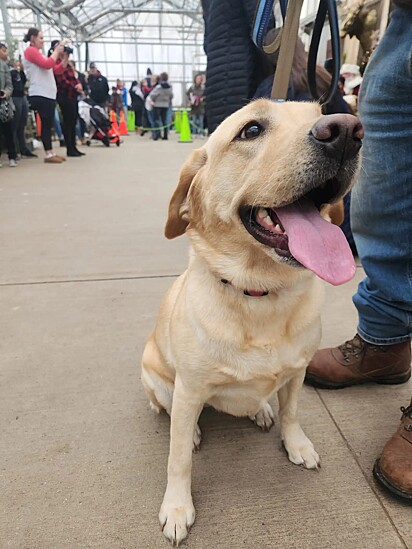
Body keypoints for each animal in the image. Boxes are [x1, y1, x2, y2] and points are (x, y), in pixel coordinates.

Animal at [143, 98, 362, 544]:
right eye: (252, 130)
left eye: (319, 113)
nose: (347, 130)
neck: (259, 294)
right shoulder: (190, 389)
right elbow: (178, 459)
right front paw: (177, 507)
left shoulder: (298, 372)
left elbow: (292, 412)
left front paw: (296, 444)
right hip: (154, 376)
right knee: (171, 411)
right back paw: (192, 429)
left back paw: (260, 409)